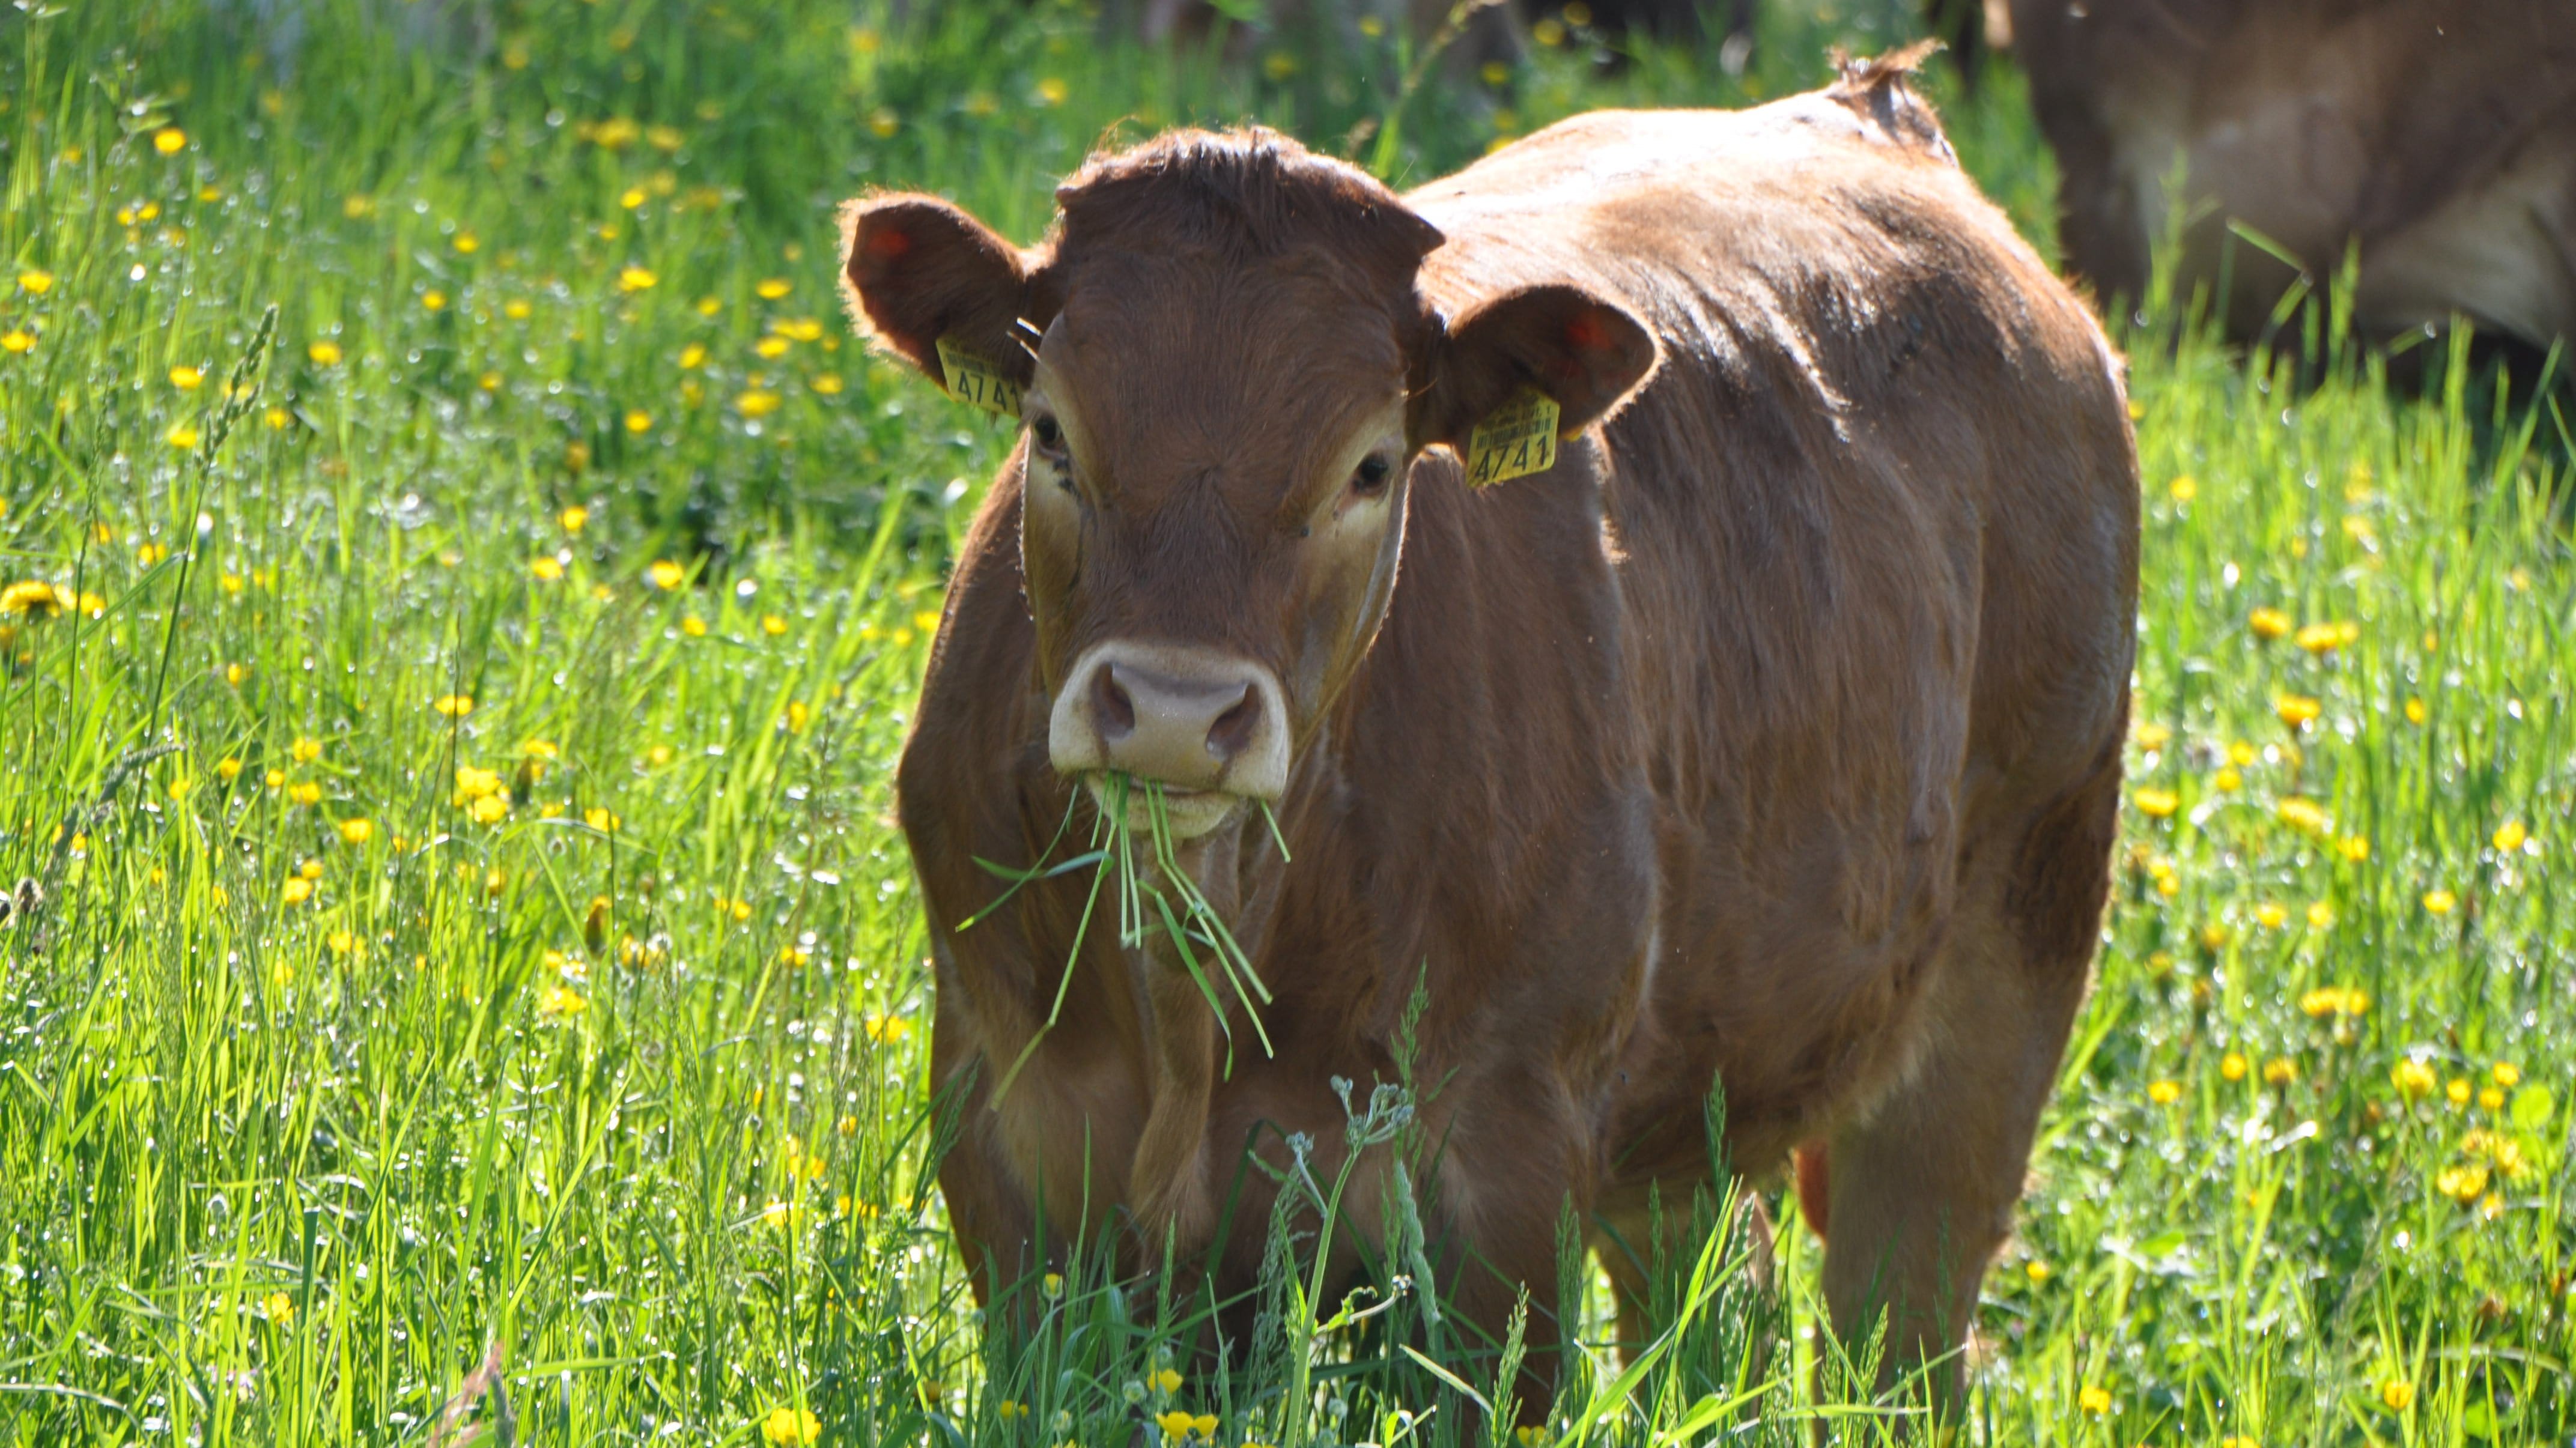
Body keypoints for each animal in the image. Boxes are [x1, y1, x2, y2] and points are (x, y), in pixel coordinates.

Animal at [839, 47, 2133, 1422]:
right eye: (1051, 432)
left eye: (1369, 465)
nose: (1176, 712)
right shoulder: (1009, 1146)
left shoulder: (1501, 1186)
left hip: (2012, 952)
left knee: (1899, 1327)